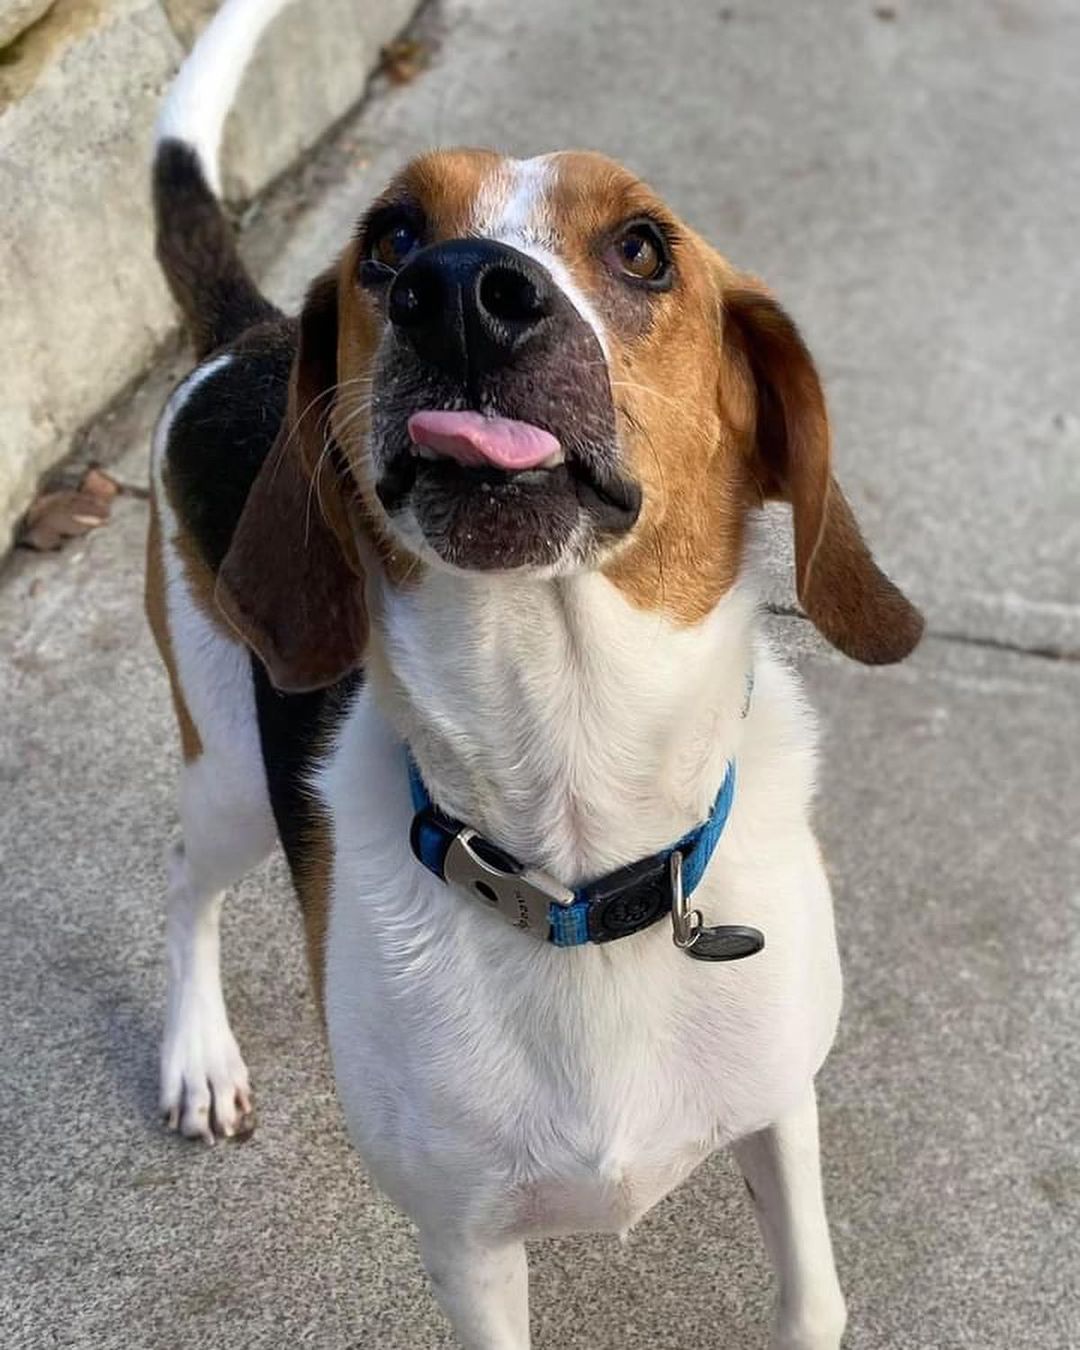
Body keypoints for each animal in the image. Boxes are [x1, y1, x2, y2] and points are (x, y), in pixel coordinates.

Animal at [141, 0, 918, 1339]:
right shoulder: (467, 1248)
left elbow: (812, 1301)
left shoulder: (780, 1108)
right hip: (233, 774)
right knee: (192, 880)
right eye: (391, 238)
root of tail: (244, 336)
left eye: (644, 249)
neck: (576, 835)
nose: (457, 291)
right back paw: (200, 1057)